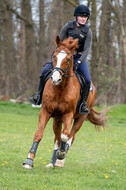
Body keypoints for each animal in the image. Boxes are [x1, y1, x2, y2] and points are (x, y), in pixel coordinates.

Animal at [22, 36, 108, 169]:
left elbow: (65, 135)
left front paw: (61, 154)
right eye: (54, 56)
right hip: (57, 119)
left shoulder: (68, 114)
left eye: (68, 59)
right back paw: (52, 162)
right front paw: (29, 160)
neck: (61, 88)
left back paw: (60, 160)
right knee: (57, 138)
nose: (55, 79)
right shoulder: (46, 111)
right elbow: (39, 134)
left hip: (80, 118)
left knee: (70, 137)